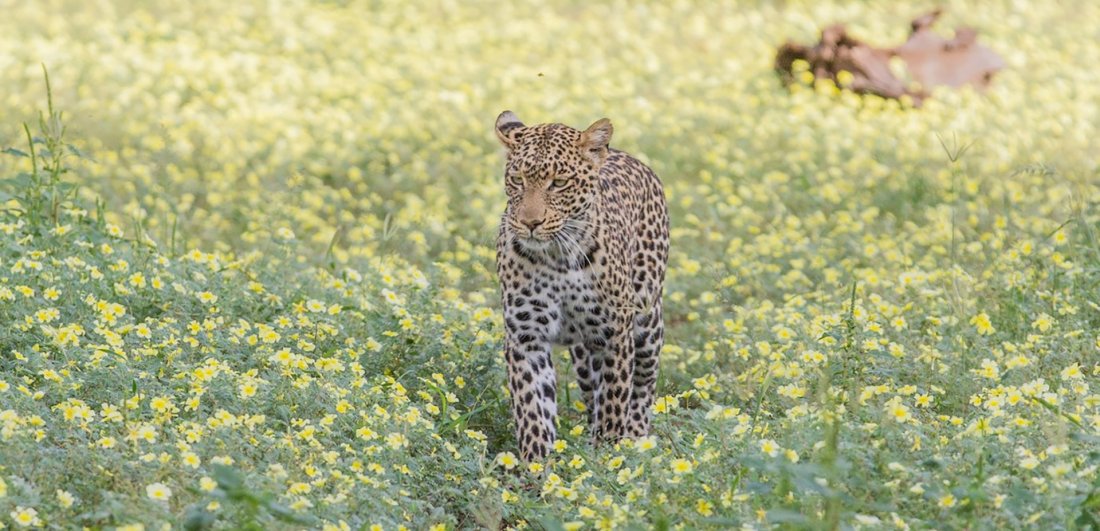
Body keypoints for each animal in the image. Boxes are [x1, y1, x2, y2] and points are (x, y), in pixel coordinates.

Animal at [499, 109, 668, 461]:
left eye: (559, 183)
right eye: (518, 179)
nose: (530, 223)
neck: (556, 258)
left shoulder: (615, 332)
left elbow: (615, 401)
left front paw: (609, 458)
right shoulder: (526, 336)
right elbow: (532, 408)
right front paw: (536, 466)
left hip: (648, 321)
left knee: (642, 385)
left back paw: (637, 441)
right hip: (583, 352)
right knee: (591, 391)